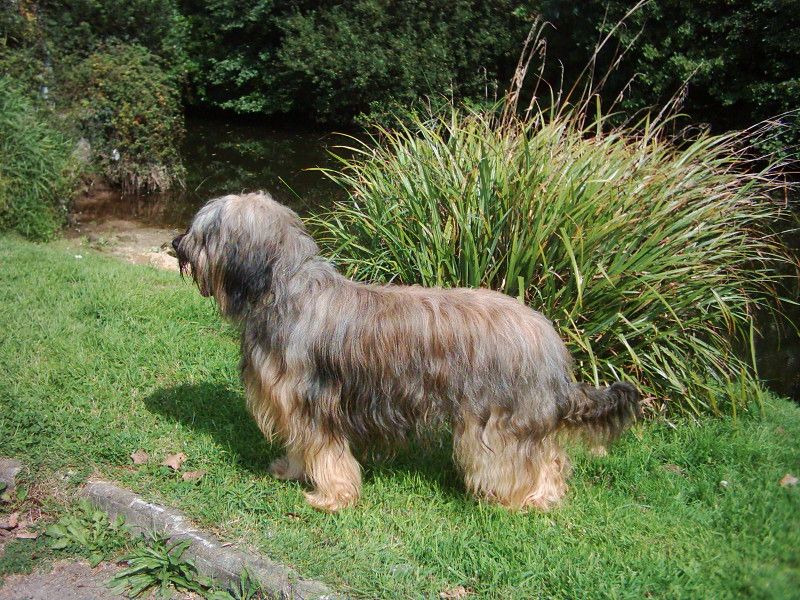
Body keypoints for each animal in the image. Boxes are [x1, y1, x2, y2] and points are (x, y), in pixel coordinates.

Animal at [172, 192, 640, 510]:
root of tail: (551, 342)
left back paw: (521, 498)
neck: (284, 290)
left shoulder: (314, 401)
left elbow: (326, 451)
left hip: (500, 419)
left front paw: (331, 497)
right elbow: (301, 445)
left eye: (206, 232)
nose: (176, 243)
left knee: (520, 460)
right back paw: (546, 495)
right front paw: (290, 470)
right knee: (552, 458)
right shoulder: (294, 403)